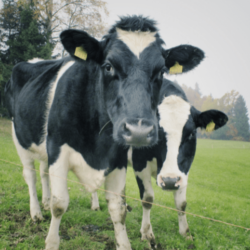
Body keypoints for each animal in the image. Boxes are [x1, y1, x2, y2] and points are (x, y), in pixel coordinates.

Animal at [5, 16, 205, 250]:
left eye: (161, 72)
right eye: (108, 66)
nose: (138, 131)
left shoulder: (120, 159)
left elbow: (120, 208)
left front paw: (182, 234)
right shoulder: (59, 150)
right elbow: (60, 203)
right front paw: (52, 242)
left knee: (44, 171)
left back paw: (47, 203)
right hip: (20, 138)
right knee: (31, 175)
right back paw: (36, 211)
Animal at [131, 79, 229, 246]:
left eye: (191, 134)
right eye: (154, 132)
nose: (169, 181)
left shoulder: (183, 170)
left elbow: (182, 203)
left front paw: (185, 233)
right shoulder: (139, 164)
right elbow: (148, 199)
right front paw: (147, 233)